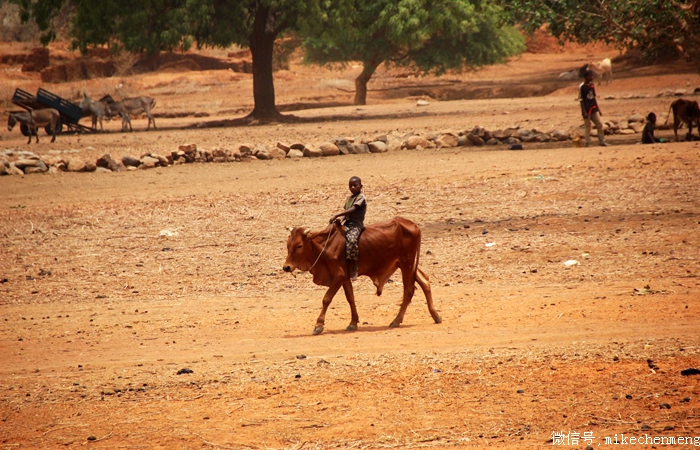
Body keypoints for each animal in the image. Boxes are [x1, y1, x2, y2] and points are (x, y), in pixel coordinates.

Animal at [282, 218, 440, 334]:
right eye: (288, 244)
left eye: (299, 245)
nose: (286, 267)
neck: (324, 246)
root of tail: (414, 225)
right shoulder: (345, 277)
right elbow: (350, 298)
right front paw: (353, 323)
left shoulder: (338, 276)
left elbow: (326, 299)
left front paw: (319, 325)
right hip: (408, 264)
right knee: (425, 281)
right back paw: (436, 316)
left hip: (407, 262)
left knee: (408, 290)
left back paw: (396, 320)